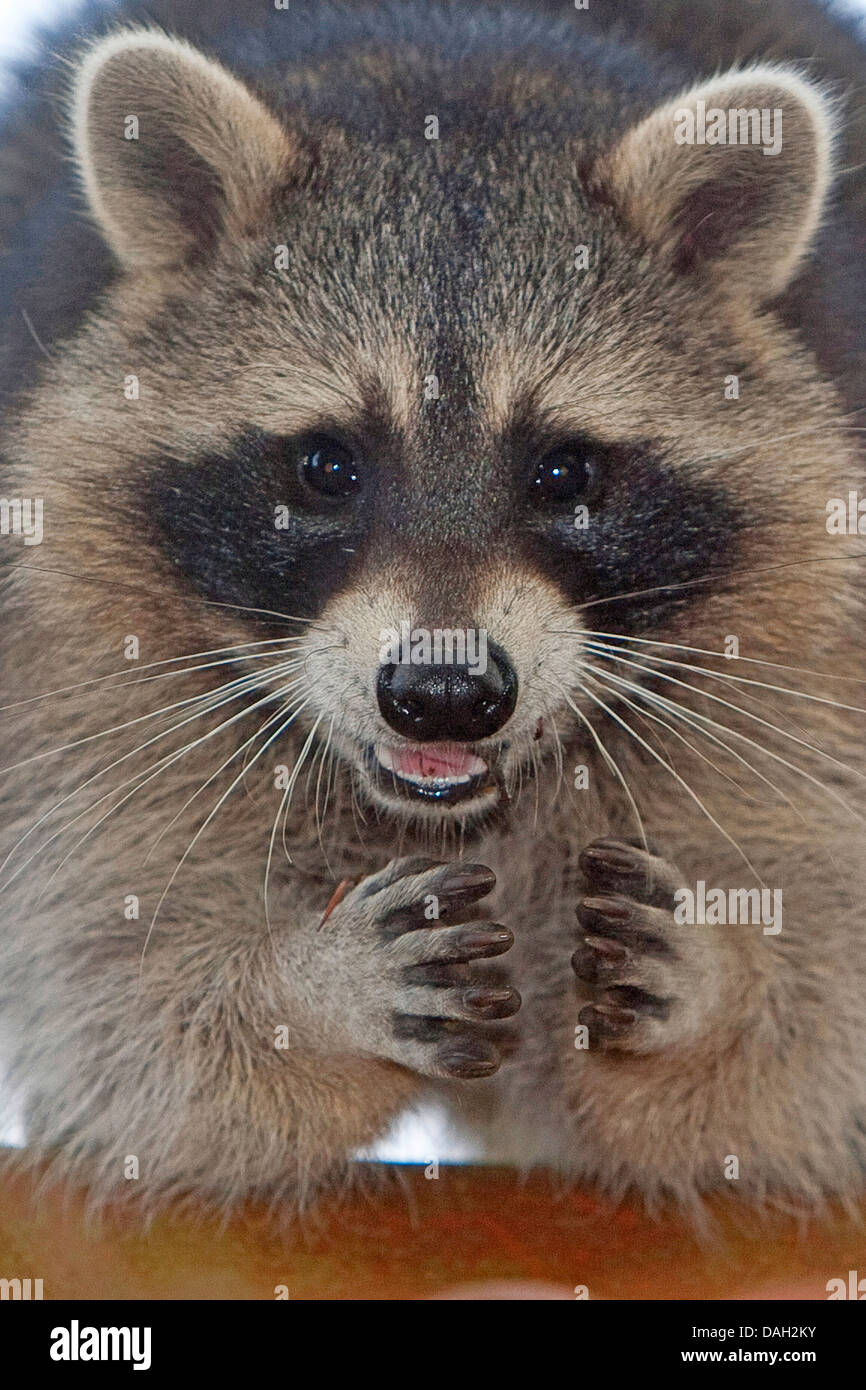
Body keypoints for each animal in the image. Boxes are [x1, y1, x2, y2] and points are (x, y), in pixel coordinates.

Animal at [5, 0, 866, 1217]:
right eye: (327, 467)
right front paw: (307, 992)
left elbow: (801, 1062)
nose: (444, 695)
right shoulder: (76, 677)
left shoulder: (807, 671)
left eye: (564, 472)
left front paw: (721, 990)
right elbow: (125, 1011)